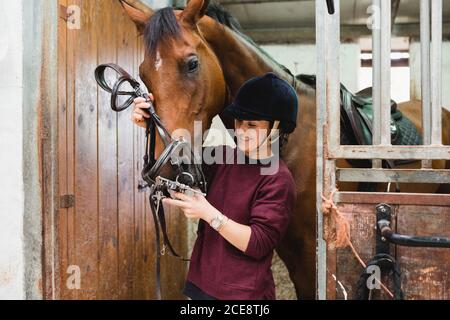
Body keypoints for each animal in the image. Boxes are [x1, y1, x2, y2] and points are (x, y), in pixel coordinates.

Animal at [119, 0, 450, 300]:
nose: (166, 168)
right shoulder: (289, 249)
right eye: (143, 74)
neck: (291, 140)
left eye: (191, 63)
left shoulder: (310, 251)